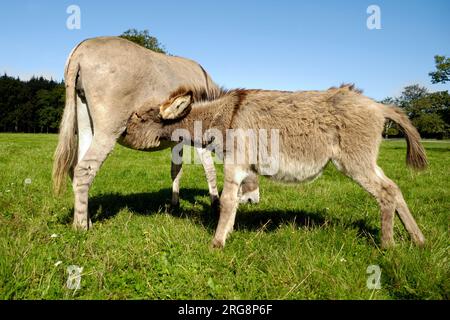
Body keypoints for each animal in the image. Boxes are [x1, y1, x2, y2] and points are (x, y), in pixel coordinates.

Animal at [125, 84, 428, 249]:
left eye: (139, 117)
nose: (121, 134)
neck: (225, 115)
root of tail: (379, 106)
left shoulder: (235, 162)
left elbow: (227, 201)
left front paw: (217, 243)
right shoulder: (243, 167)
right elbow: (234, 201)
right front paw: (228, 233)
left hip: (355, 162)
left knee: (385, 193)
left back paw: (388, 246)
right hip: (366, 161)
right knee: (394, 188)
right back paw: (418, 240)